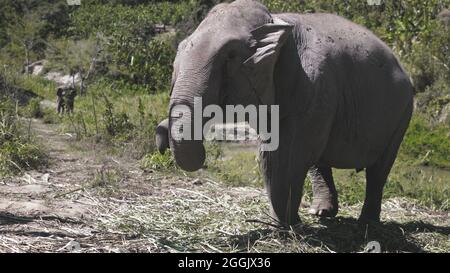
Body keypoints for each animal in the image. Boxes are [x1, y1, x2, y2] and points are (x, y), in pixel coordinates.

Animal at [157, 0, 412, 225]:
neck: (275, 19)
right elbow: (278, 151)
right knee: (319, 159)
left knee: (378, 170)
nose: (161, 141)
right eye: (181, 48)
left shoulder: (315, 85)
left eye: (230, 55)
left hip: (402, 114)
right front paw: (282, 222)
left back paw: (366, 222)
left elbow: (285, 154)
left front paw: (285, 224)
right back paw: (321, 213)